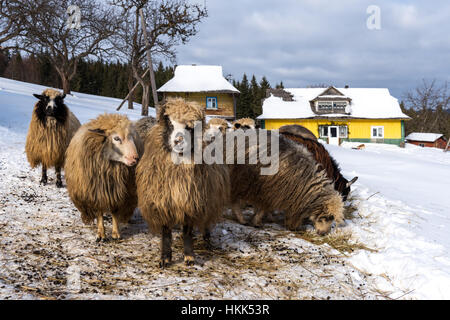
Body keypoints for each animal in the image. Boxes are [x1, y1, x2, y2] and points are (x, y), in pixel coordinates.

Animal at [135, 98, 230, 268]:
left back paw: (207, 240)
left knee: (206, 222)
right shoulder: (163, 201)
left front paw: (189, 256)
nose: (178, 141)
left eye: (190, 127)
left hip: (210, 199)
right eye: (170, 123)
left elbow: (187, 231)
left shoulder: (191, 201)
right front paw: (165, 258)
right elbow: (166, 232)